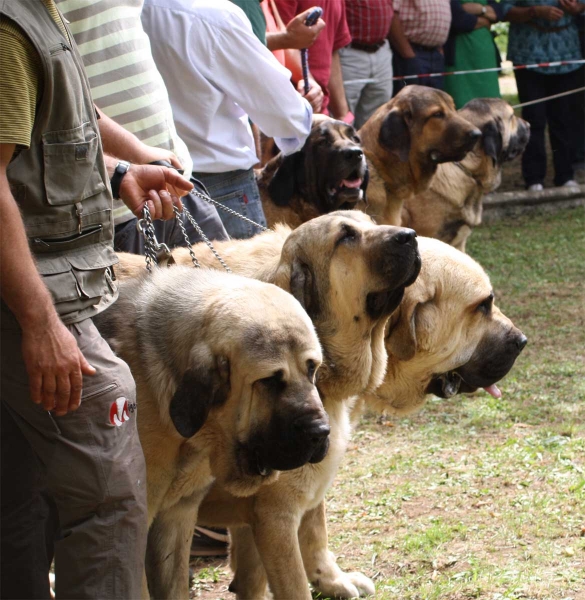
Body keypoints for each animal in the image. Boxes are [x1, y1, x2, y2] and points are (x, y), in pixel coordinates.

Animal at [117, 210, 420, 596]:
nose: (411, 236)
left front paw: (331, 579)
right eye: (346, 237)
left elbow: (307, 534)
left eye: (370, 220)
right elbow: (293, 579)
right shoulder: (274, 516)